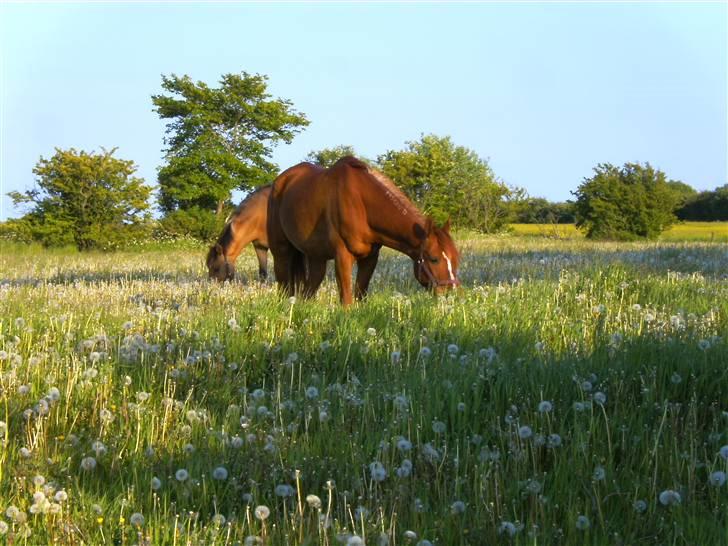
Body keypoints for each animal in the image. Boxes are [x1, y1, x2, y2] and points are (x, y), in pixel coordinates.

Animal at [268, 155, 460, 304]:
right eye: (434, 259)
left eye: (456, 258)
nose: (452, 293)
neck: (361, 204)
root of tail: (281, 181)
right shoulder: (343, 256)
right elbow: (347, 301)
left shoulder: (370, 258)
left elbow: (360, 296)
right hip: (282, 252)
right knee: (284, 286)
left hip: (316, 256)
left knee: (308, 291)